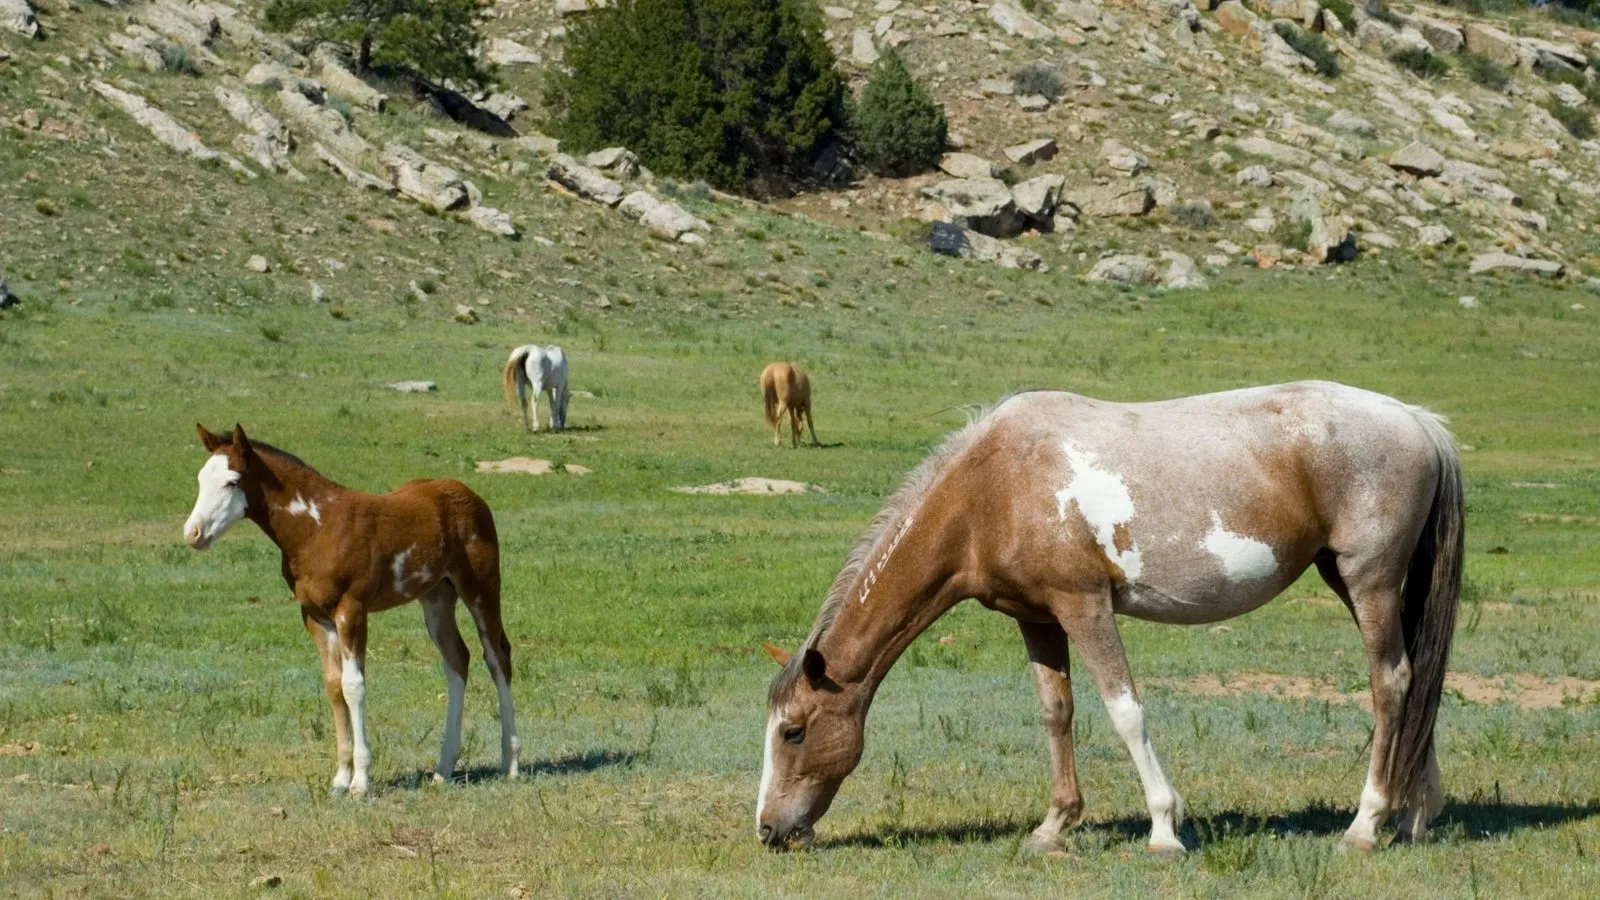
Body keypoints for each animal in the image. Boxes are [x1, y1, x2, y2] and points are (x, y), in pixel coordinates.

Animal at [183, 424, 520, 796]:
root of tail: (470, 495)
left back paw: (511, 763)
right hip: (436, 599)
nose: (193, 533)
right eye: (200, 479)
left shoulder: (352, 609)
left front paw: (360, 781)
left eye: (232, 481)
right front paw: (340, 778)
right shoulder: (317, 618)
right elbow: (333, 685)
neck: (317, 529)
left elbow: (353, 685)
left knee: (497, 656)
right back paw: (444, 768)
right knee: (457, 659)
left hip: (481, 589)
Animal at [757, 382, 1463, 856]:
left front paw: (1163, 829)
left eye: (793, 732)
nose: (769, 829)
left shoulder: (1084, 605)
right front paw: (1053, 826)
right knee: (1417, 679)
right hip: (1350, 579)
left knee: (1391, 683)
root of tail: (1418, 422)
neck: (992, 488)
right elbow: (1056, 712)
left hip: (1369, 580)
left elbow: (1125, 711)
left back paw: (1367, 823)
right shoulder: (1038, 618)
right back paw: (1417, 816)